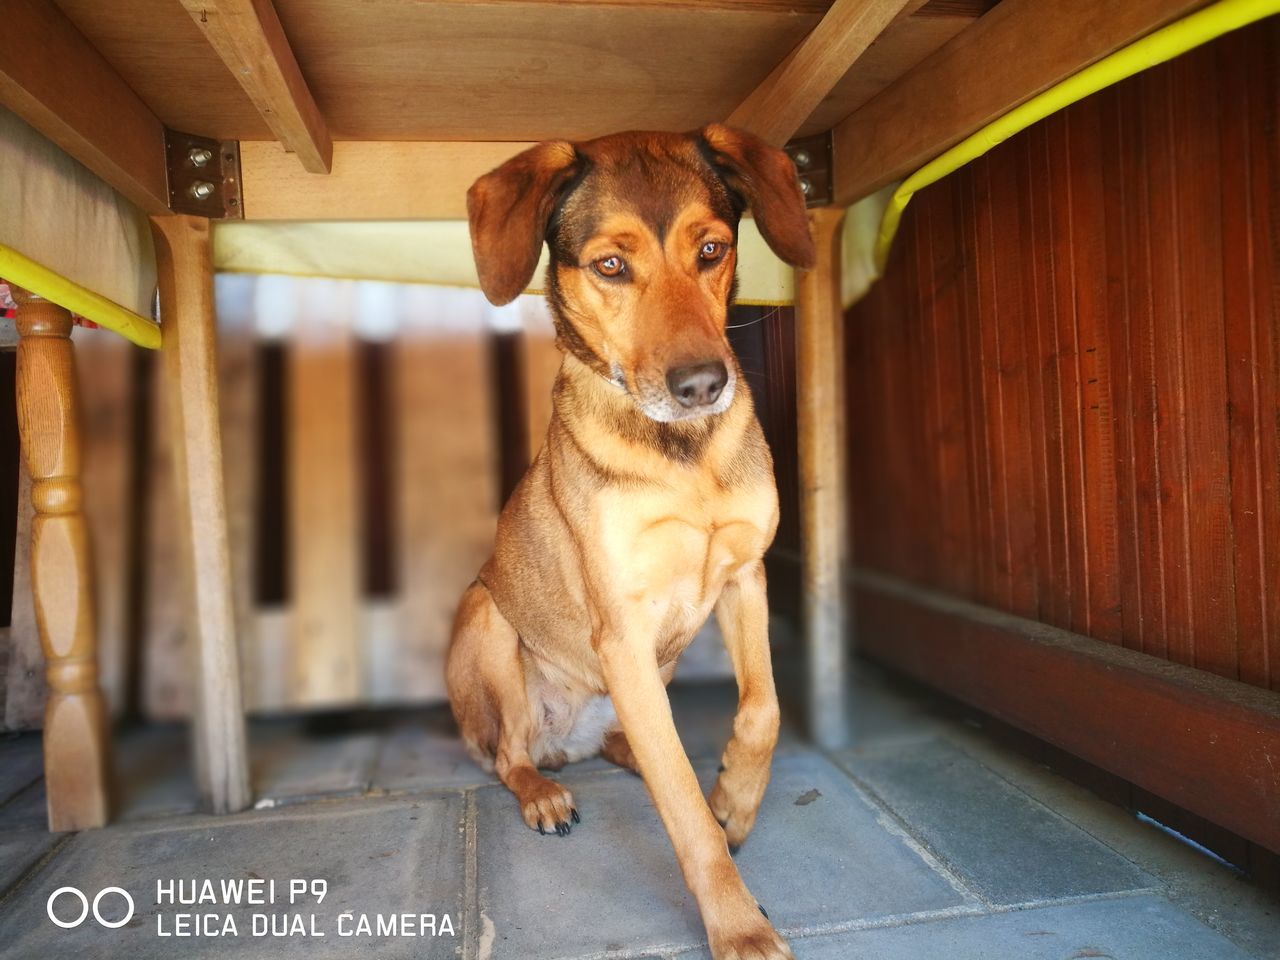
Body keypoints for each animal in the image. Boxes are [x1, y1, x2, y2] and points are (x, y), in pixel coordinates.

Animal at [445, 128, 814, 960]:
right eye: (612, 266)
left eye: (711, 250)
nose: (703, 385)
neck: (683, 455)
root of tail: (567, 745)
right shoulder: (622, 629)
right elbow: (682, 809)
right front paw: (738, 926)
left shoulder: (745, 576)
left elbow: (762, 712)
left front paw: (734, 802)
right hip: (487, 620)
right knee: (511, 756)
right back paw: (543, 792)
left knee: (639, 741)